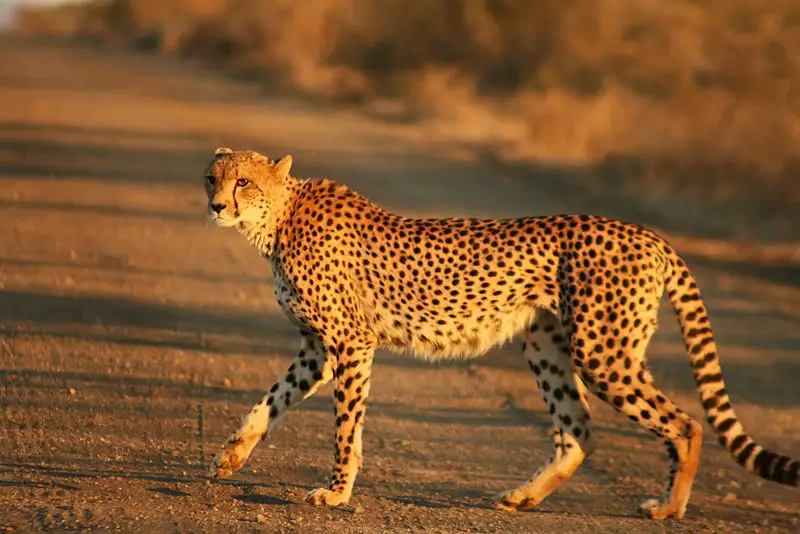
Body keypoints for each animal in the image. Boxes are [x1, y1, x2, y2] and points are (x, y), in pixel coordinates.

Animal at [203, 147, 798, 519]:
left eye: (244, 182)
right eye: (214, 178)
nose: (215, 206)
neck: (277, 219)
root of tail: (645, 232)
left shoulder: (350, 342)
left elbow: (346, 426)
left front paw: (336, 492)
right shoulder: (317, 349)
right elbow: (269, 401)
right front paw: (231, 456)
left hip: (602, 352)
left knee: (686, 424)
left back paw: (669, 507)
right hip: (548, 345)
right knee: (579, 432)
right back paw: (524, 497)